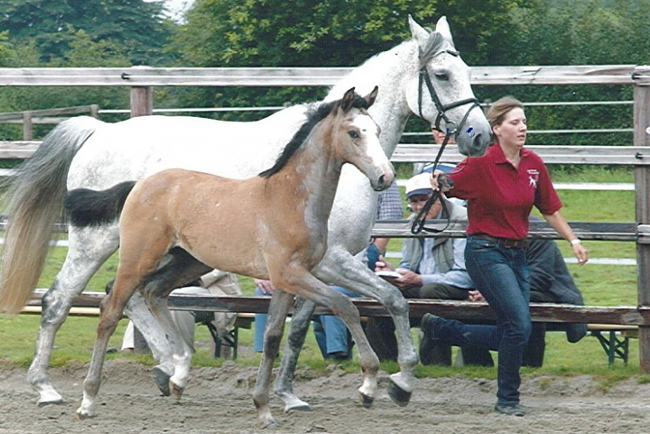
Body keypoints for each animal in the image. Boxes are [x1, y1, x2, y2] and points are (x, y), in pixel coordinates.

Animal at [0, 15, 486, 408]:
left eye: (466, 72)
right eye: (442, 74)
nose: (478, 135)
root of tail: (98, 131)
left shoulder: (314, 266)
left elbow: (299, 326)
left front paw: (289, 394)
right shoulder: (332, 261)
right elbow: (391, 299)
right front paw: (398, 383)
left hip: (172, 254)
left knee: (134, 297)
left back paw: (170, 369)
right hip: (97, 241)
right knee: (62, 300)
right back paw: (48, 388)